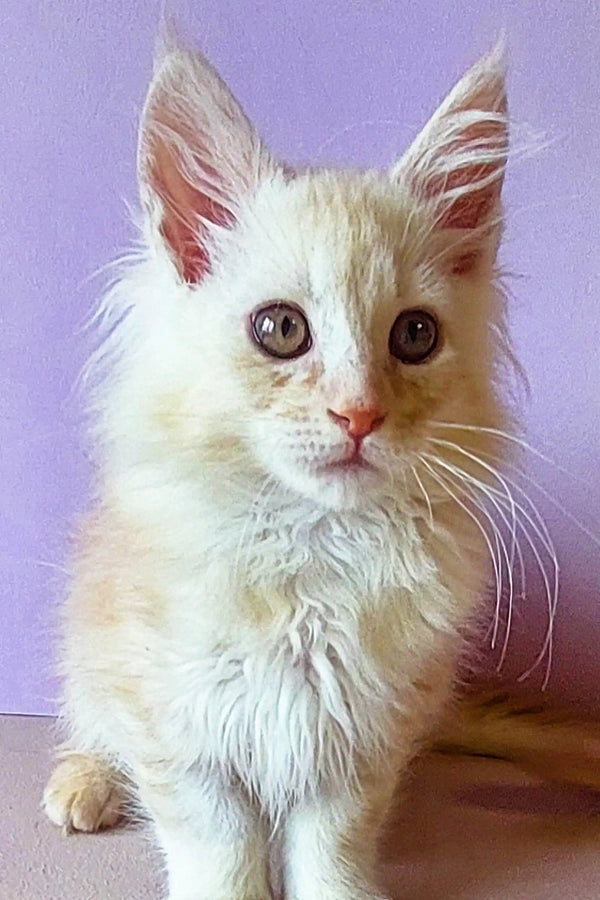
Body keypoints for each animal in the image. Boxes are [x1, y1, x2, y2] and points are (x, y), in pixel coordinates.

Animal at [45, 40, 516, 900]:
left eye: (416, 336)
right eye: (280, 330)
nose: (359, 414)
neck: (309, 553)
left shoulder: (360, 740)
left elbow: (330, 849)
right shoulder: (180, 731)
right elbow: (219, 849)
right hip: (90, 650)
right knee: (91, 721)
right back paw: (83, 783)